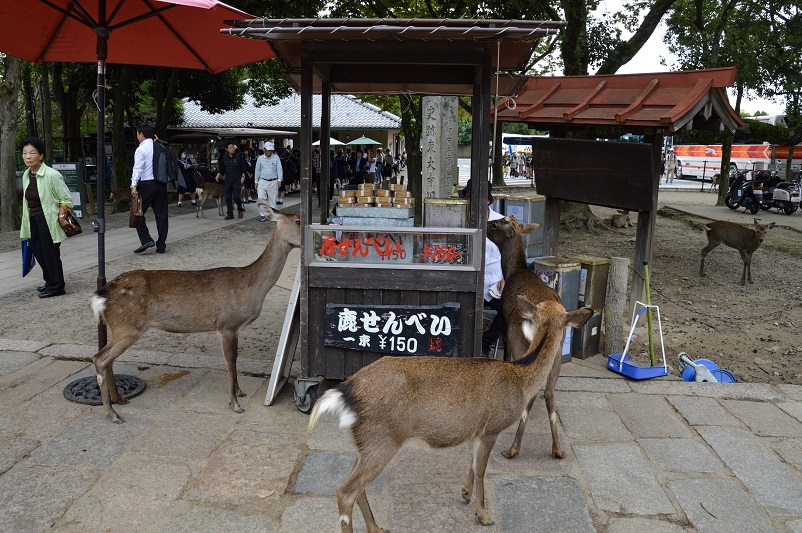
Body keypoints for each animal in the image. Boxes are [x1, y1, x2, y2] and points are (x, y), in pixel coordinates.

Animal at [88, 206, 300, 422]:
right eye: (299, 220)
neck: (251, 288)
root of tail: (101, 295)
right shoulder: (227, 325)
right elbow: (231, 361)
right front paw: (235, 404)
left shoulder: (234, 328)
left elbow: (235, 360)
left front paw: (240, 392)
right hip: (127, 326)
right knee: (100, 358)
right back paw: (112, 413)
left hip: (120, 327)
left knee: (107, 359)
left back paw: (119, 400)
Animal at [310, 294, 592, 528]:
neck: (521, 379)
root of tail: (345, 391)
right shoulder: (492, 428)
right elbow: (482, 469)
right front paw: (484, 515)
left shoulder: (475, 431)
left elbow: (472, 464)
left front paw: (465, 494)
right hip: (382, 440)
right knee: (345, 492)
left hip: (363, 442)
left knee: (357, 489)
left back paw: (377, 527)